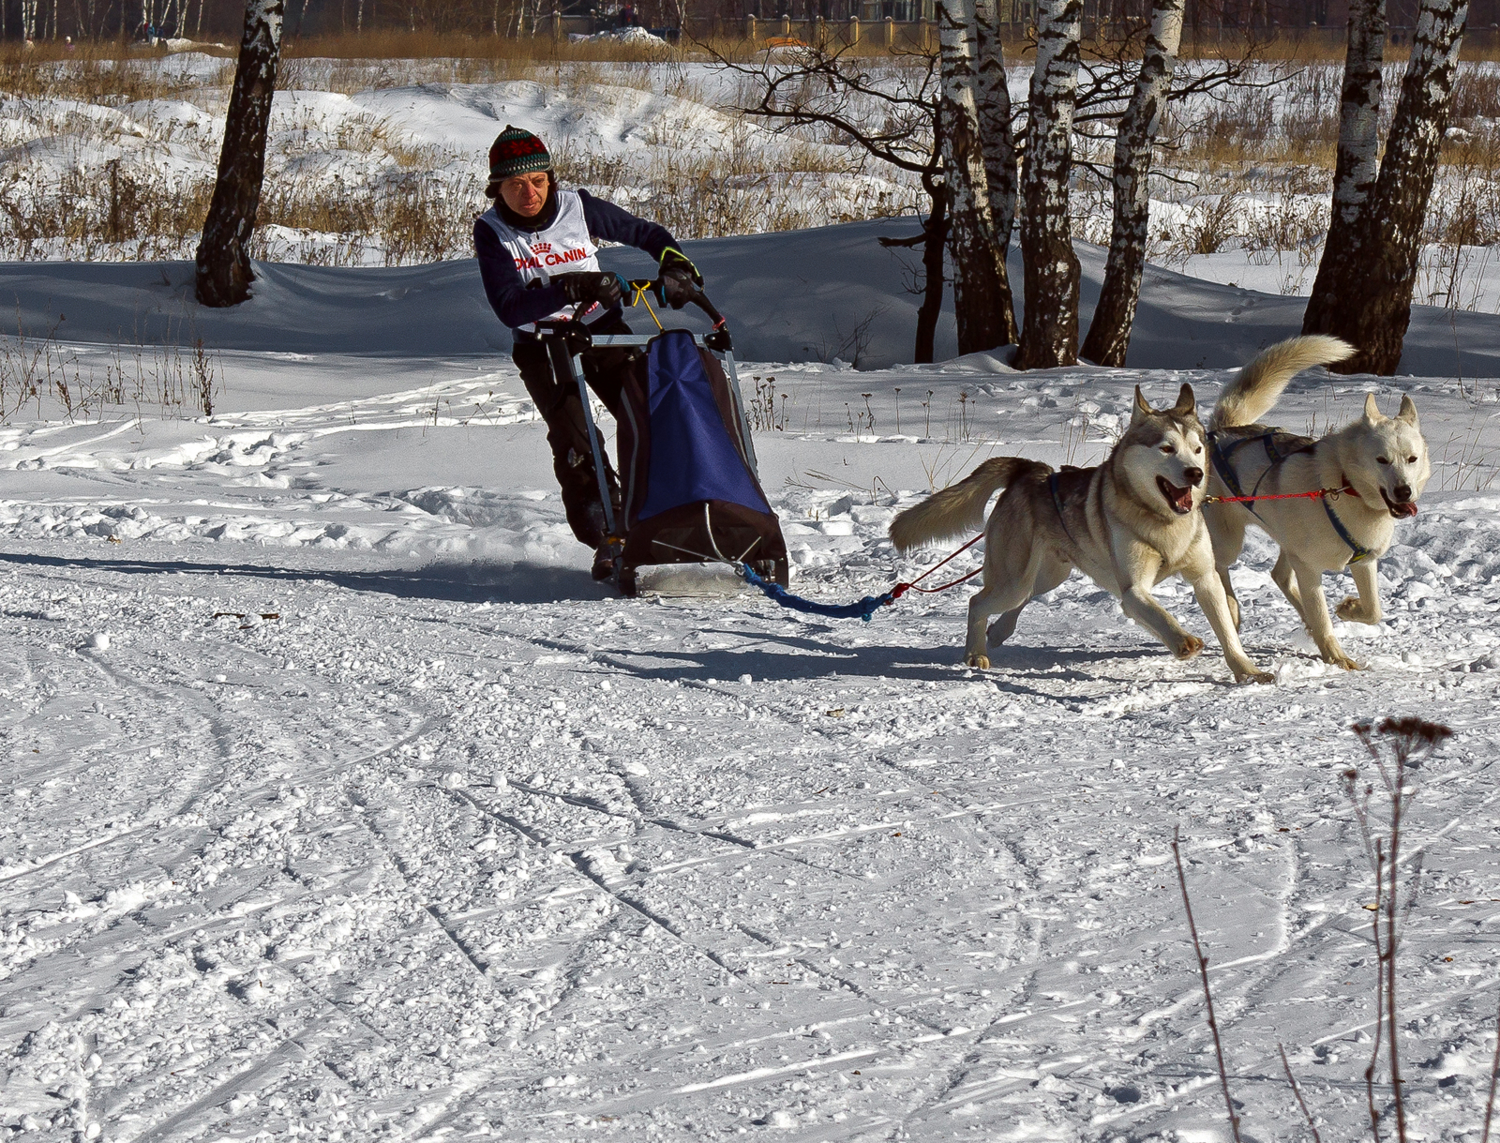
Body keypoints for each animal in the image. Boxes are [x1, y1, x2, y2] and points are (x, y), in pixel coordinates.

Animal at [1206, 331, 1428, 669]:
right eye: (1382, 460)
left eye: (1412, 459)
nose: (1404, 491)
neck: (1345, 487)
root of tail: (1224, 431)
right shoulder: (1309, 568)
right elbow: (1323, 617)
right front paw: (1336, 656)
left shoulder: (1364, 562)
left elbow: (1373, 611)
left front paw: (1348, 609)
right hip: (1229, 539)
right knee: (1220, 569)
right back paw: (1231, 609)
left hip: (1286, 543)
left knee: (1280, 576)